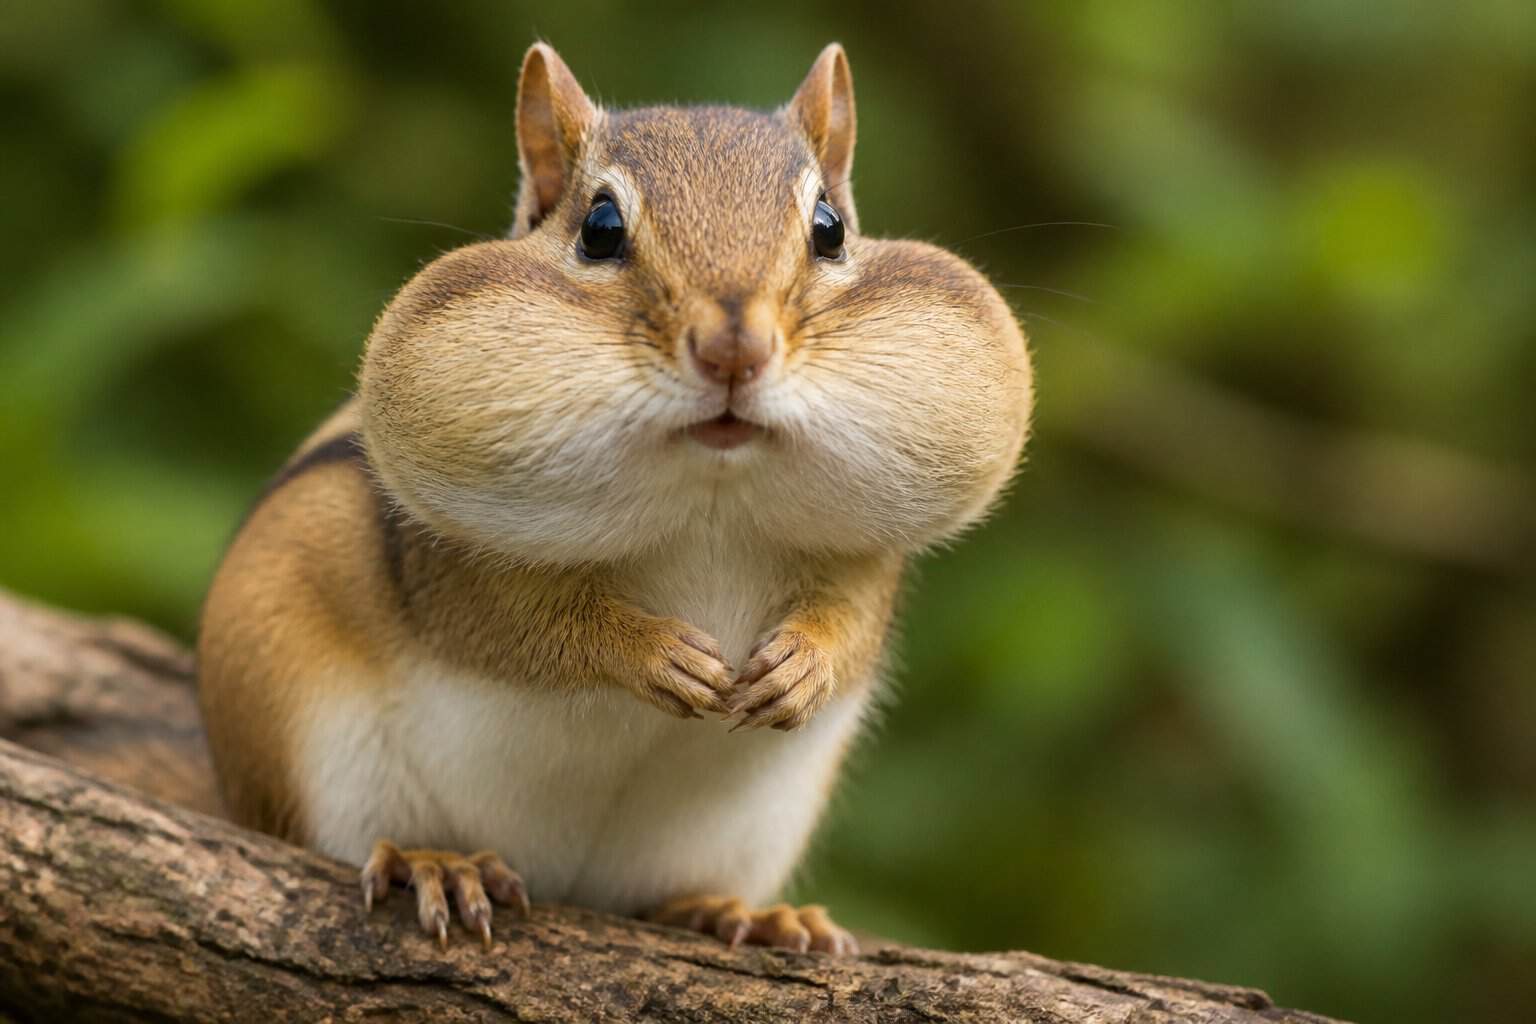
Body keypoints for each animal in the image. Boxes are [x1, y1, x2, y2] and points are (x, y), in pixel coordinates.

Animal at [197, 42, 1033, 955]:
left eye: (830, 229)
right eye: (600, 228)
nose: (733, 348)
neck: (713, 495)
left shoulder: (863, 559)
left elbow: (845, 625)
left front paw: (799, 669)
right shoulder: (452, 563)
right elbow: (531, 627)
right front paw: (653, 653)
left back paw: (741, 912)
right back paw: (435, 864)